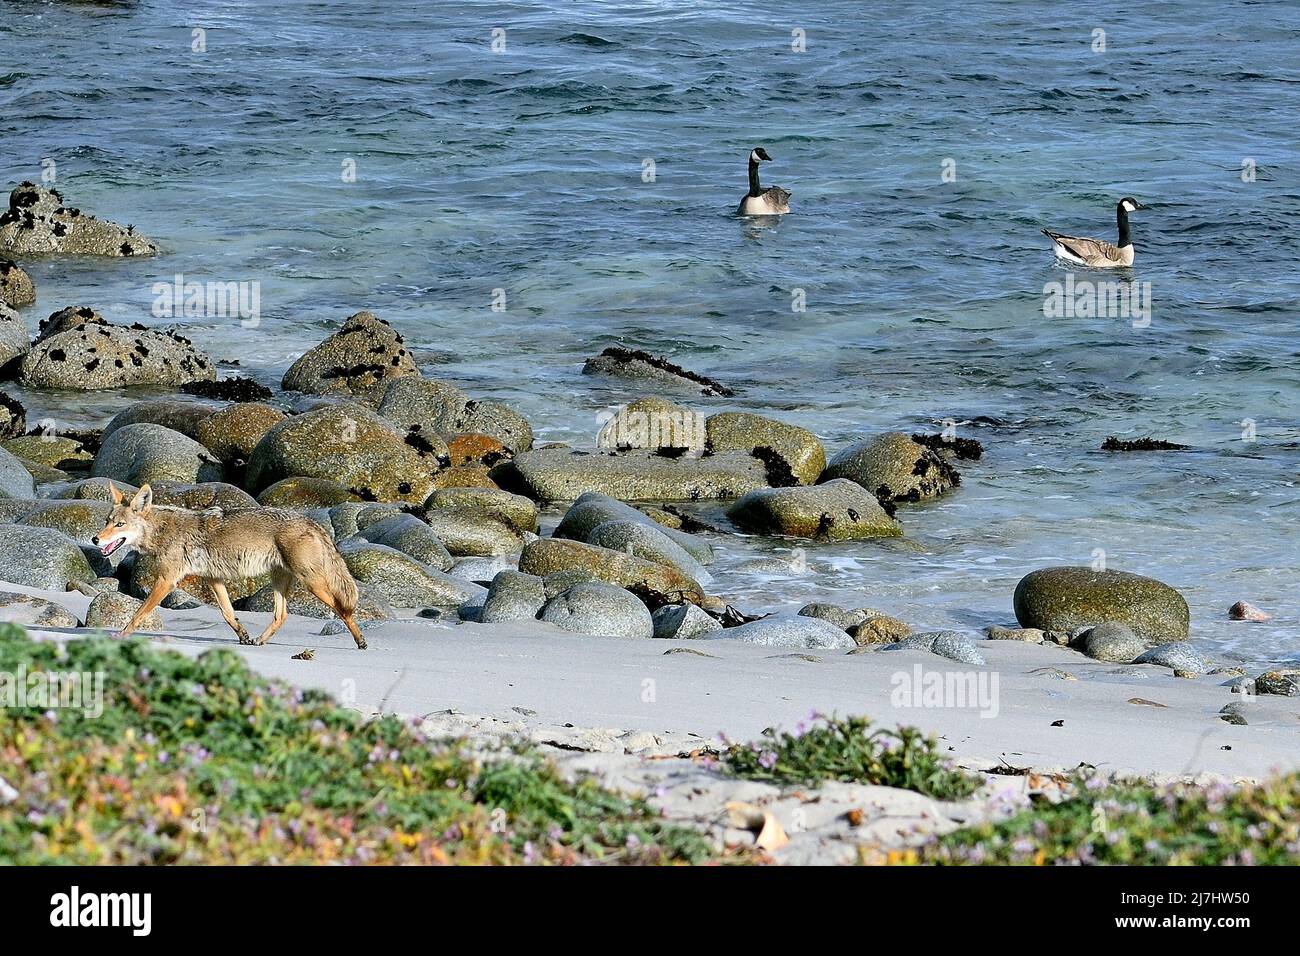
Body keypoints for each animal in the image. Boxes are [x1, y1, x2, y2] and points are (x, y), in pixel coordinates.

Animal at [92, 482, 367, 649]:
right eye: (107, 521)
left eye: (119, 525)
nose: (95, 539)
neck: (162, 530)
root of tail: (310, 521)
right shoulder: (214, 579)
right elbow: (227, 613)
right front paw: (243, 636)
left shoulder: (166, 581)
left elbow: (139, 613)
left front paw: (120, 635)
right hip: (281, 582)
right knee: (281, 615)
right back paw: (259, 640)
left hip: (313, 585)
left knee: (343, 609)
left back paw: (361, 642)